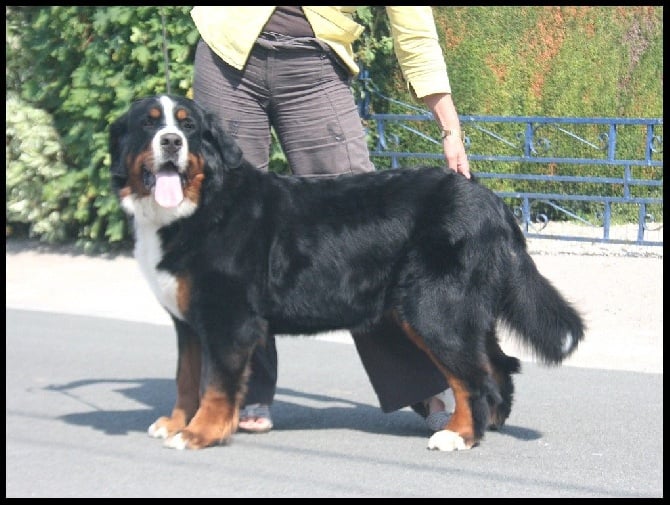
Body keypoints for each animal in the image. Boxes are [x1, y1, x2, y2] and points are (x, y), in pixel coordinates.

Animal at [107, 94, 584, 448]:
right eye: (149, 125)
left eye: (188, 127)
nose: (171, 142)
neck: (202, 205)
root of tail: (489, 199)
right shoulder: (188, 322)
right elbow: (187, 379)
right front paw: (175, 423)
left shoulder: (229, 318)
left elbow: (216, 384)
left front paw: (200, 433)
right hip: (463, 311)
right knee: (498, 365)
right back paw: (491, 423)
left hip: (433, 309)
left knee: (473, 375)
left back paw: (459, 435)